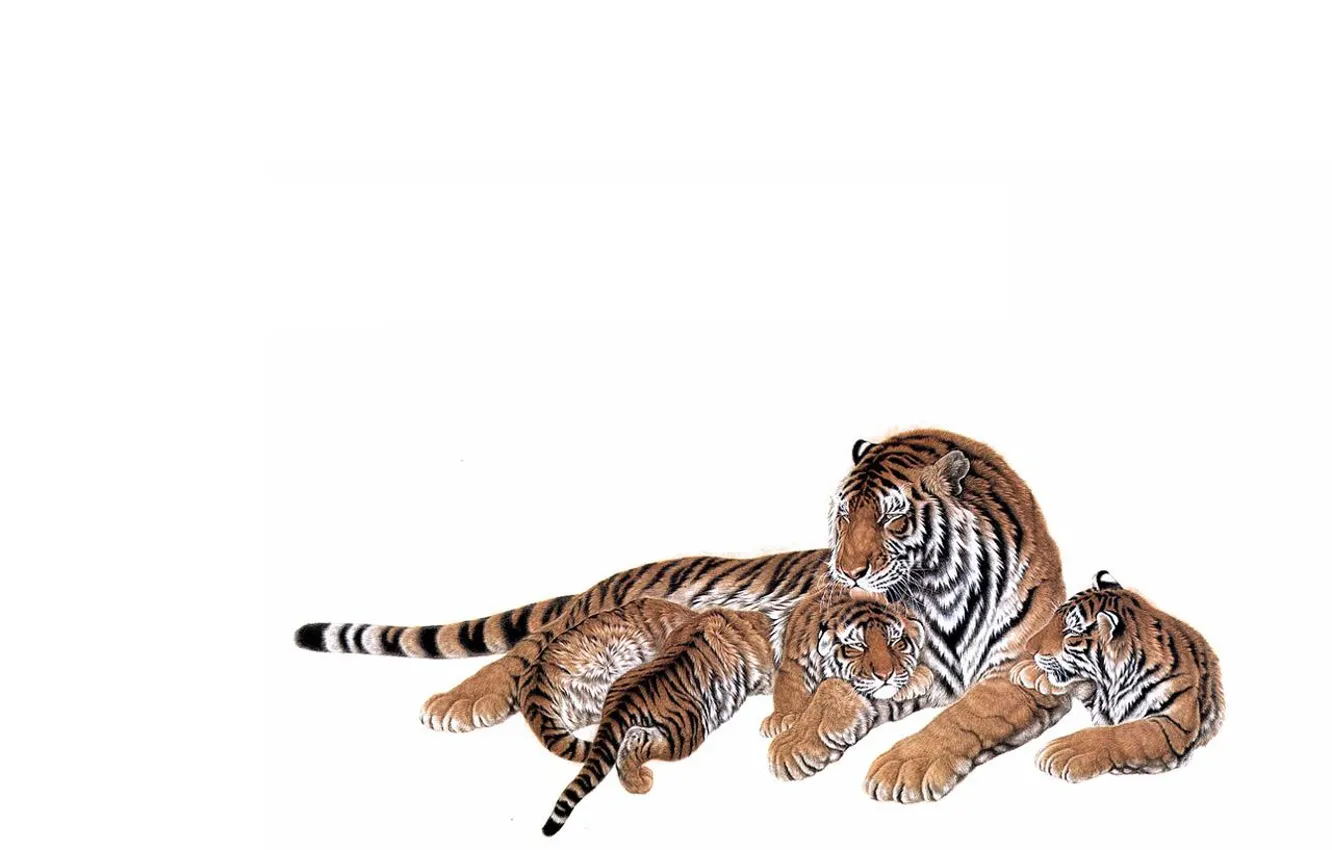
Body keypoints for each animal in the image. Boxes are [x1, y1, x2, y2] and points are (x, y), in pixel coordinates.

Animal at [1010, 570, 1224, 782]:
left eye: (1071, 633)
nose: (1028, 648)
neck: (1115, 683)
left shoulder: (1174, 725)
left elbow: (1124, 733)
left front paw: (1063, 752)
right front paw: (1027, 670)